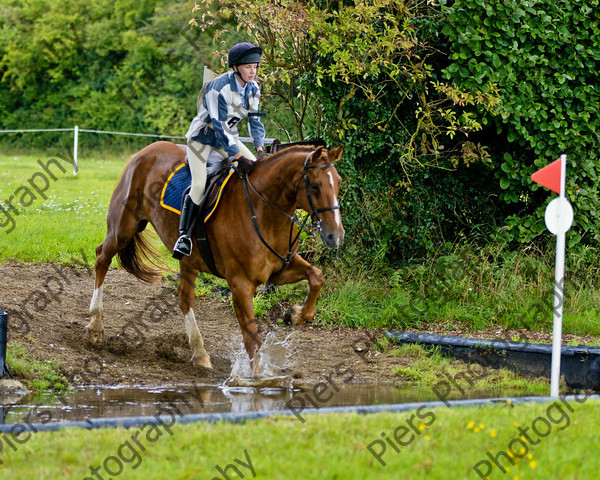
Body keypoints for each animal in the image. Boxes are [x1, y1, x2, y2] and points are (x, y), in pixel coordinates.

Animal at [86, 142, 344, 376]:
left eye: (339, 183)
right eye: (315, 185)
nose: (336, 236)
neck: (264, 212)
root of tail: (145, 151)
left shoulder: (280, 270)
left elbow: (316, 276)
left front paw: (296, 314)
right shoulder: (240, 283)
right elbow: (252, 340)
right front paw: (256, 381)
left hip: (188, 261)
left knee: (184, 298)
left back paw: (199, 353)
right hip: (123, 229)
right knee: (102, 258)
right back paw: (95, 326)